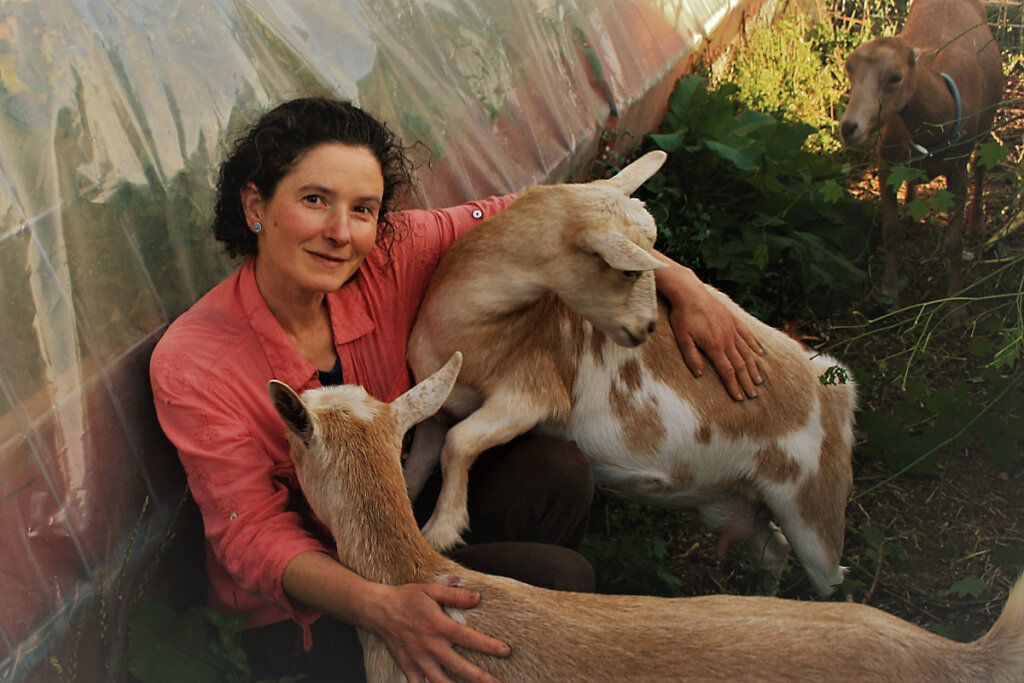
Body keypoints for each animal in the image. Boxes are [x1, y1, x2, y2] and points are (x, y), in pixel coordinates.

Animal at [405, 150, 856, 598]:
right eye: (628, 271)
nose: (650, 326)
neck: (471, 327)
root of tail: (834, 381)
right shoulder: (441, 408)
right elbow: (421, 462)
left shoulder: (533, 391)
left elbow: (461, 441)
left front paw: (442, 530)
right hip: (732, 502)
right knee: (773, 549)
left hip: (813, 510)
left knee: (832, 577)